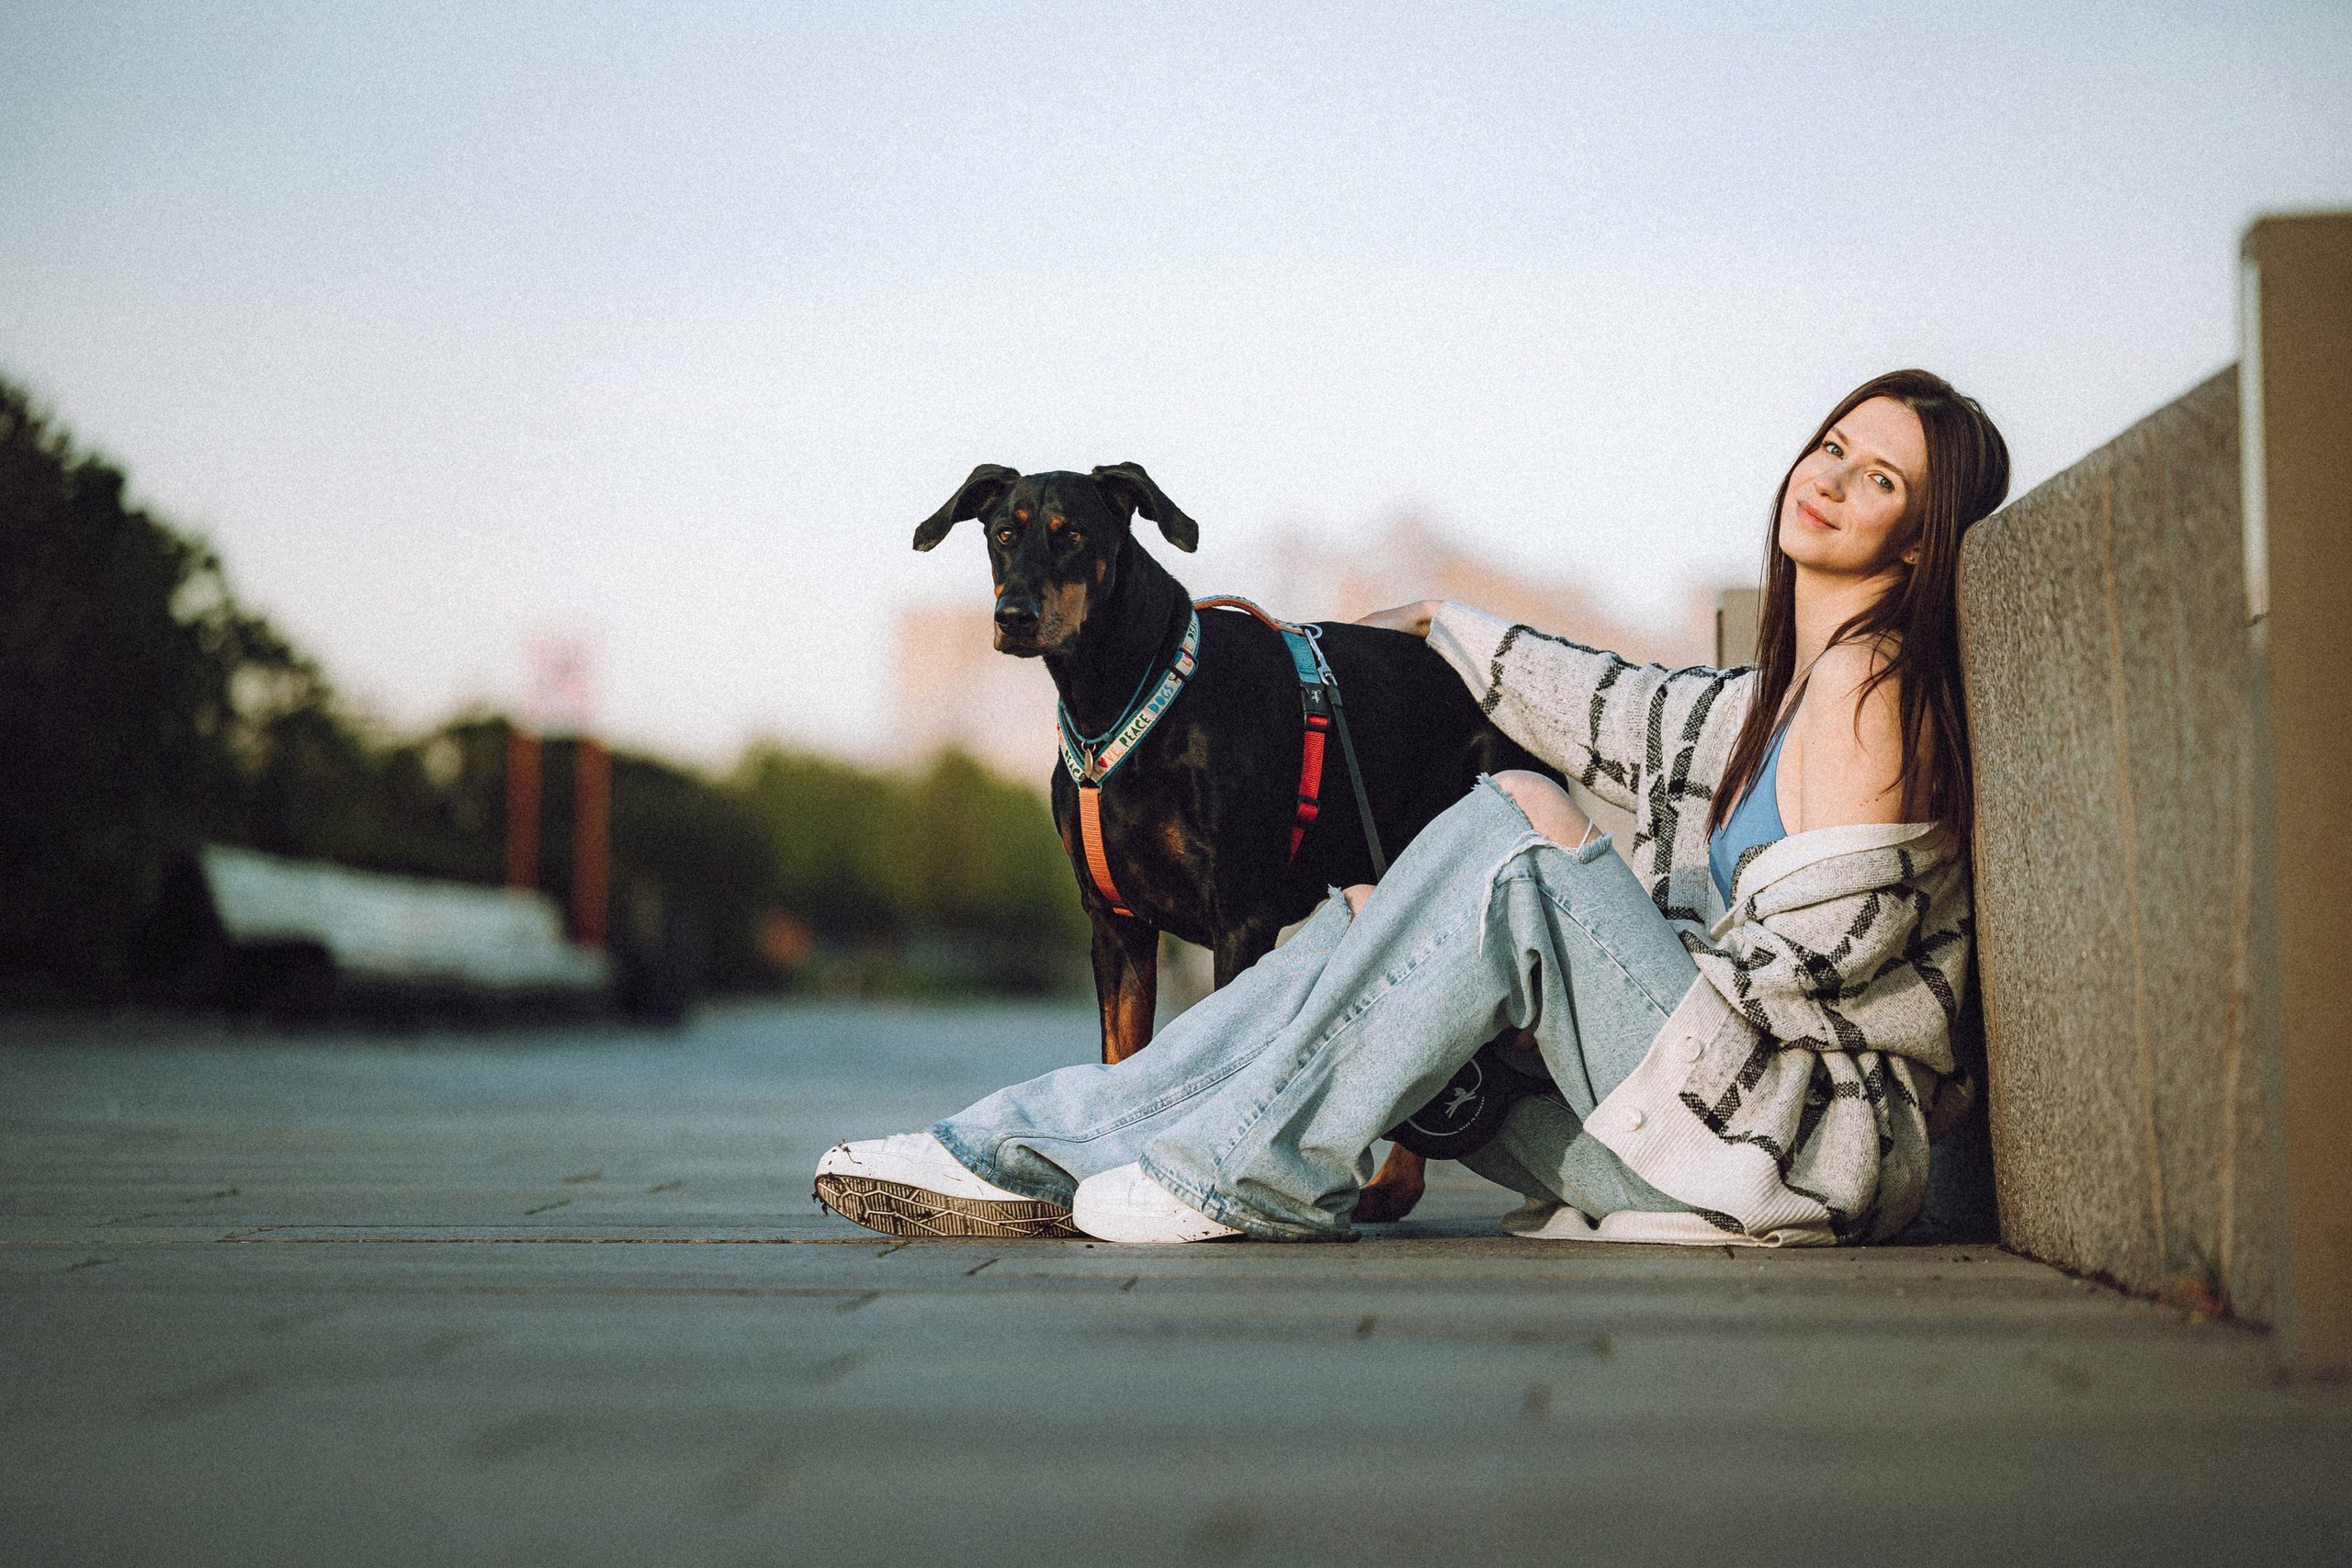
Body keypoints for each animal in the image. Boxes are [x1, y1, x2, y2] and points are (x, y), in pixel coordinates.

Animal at [917, 460, 1561, 1222]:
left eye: (1071, 533)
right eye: (1001, 534)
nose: (1012, 615)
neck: (1125, 698)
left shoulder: (1241, 920)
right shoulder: (1115, 923)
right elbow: (1121, 1060)